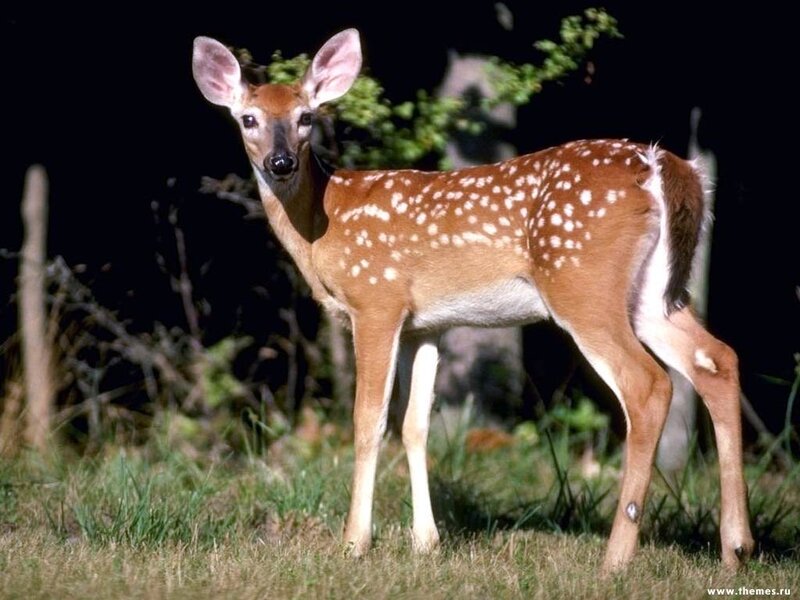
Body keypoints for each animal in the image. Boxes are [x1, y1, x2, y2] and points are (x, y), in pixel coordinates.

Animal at [192, 28, 754, 572]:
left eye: (306, 117)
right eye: (248, 119)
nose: (280, 162)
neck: (323, 226)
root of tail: (665, 165)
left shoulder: (376, 300)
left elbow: (367, 421)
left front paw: (354, 543)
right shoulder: (425, 325)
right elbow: (416, 426)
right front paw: (426, 542)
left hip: (582, 283)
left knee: (648, 384)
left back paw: (616, 558)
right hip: (655, 293)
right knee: (717, 358)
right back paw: (736, 548)